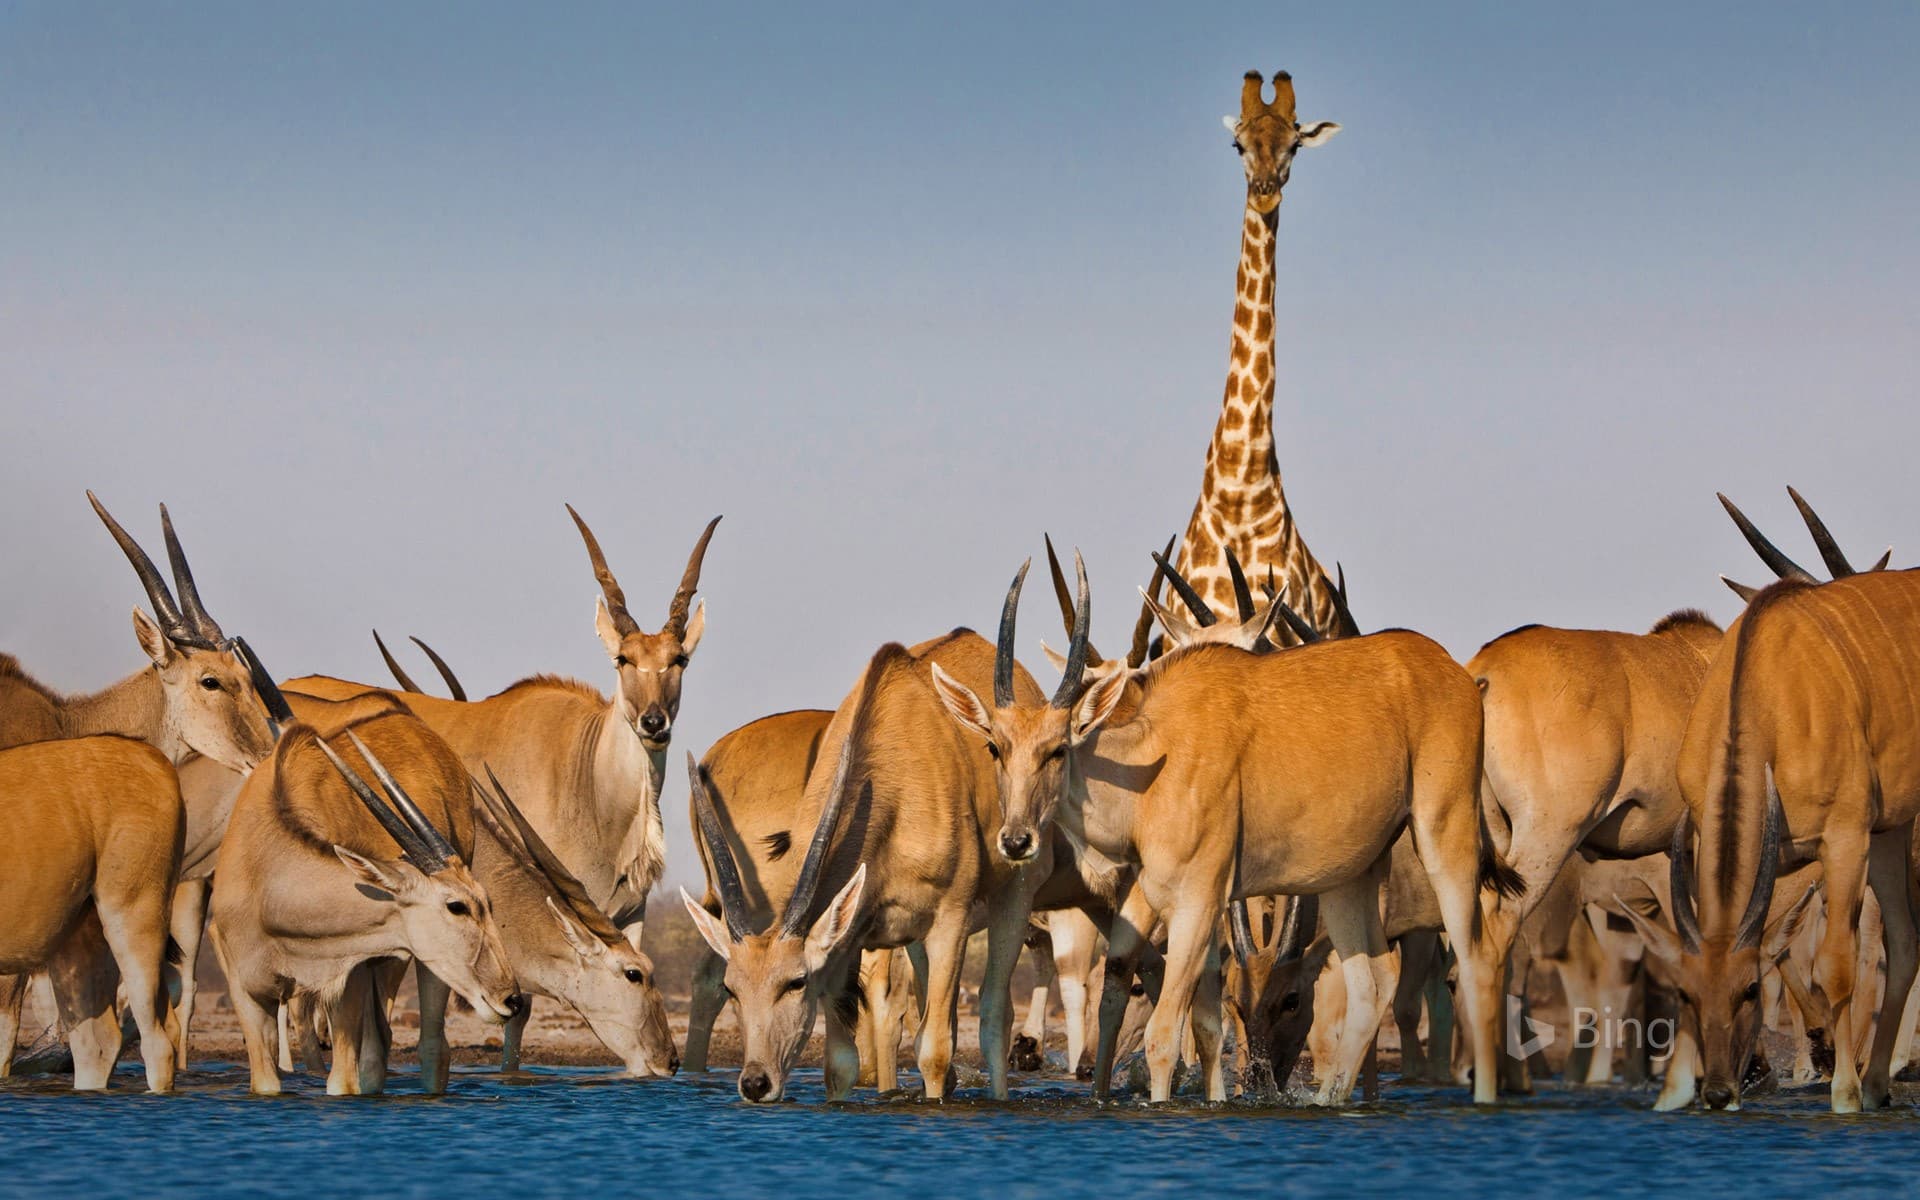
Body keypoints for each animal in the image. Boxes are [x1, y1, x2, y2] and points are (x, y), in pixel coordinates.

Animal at [209, 703, 521, 1095]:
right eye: (457, 906)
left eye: (488, 904)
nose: (512, 998)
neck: (264, 874)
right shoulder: (247, 995)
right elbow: (267, 1082)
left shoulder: (348, 980)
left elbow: (344, 1082)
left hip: (422, 966)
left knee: (426, 1047)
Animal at [287, 507, 717, 1066]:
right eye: (623, 659)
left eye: (678, 660)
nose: (653, 722)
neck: (588, 779)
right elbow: (519, 1013)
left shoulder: (627, 917)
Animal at [932, 557, 1522, 1104]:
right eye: (995, 747)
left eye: (1057, 749)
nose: (1016, 840)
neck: (1153, 760)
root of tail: (1453, 671)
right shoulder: (1151, 898)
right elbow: (1148, 999)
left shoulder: (1199, 902)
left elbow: (1166, 1032)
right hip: (1346, 879)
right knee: (1373, 986)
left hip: (1443, 838)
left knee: (1477, 962)